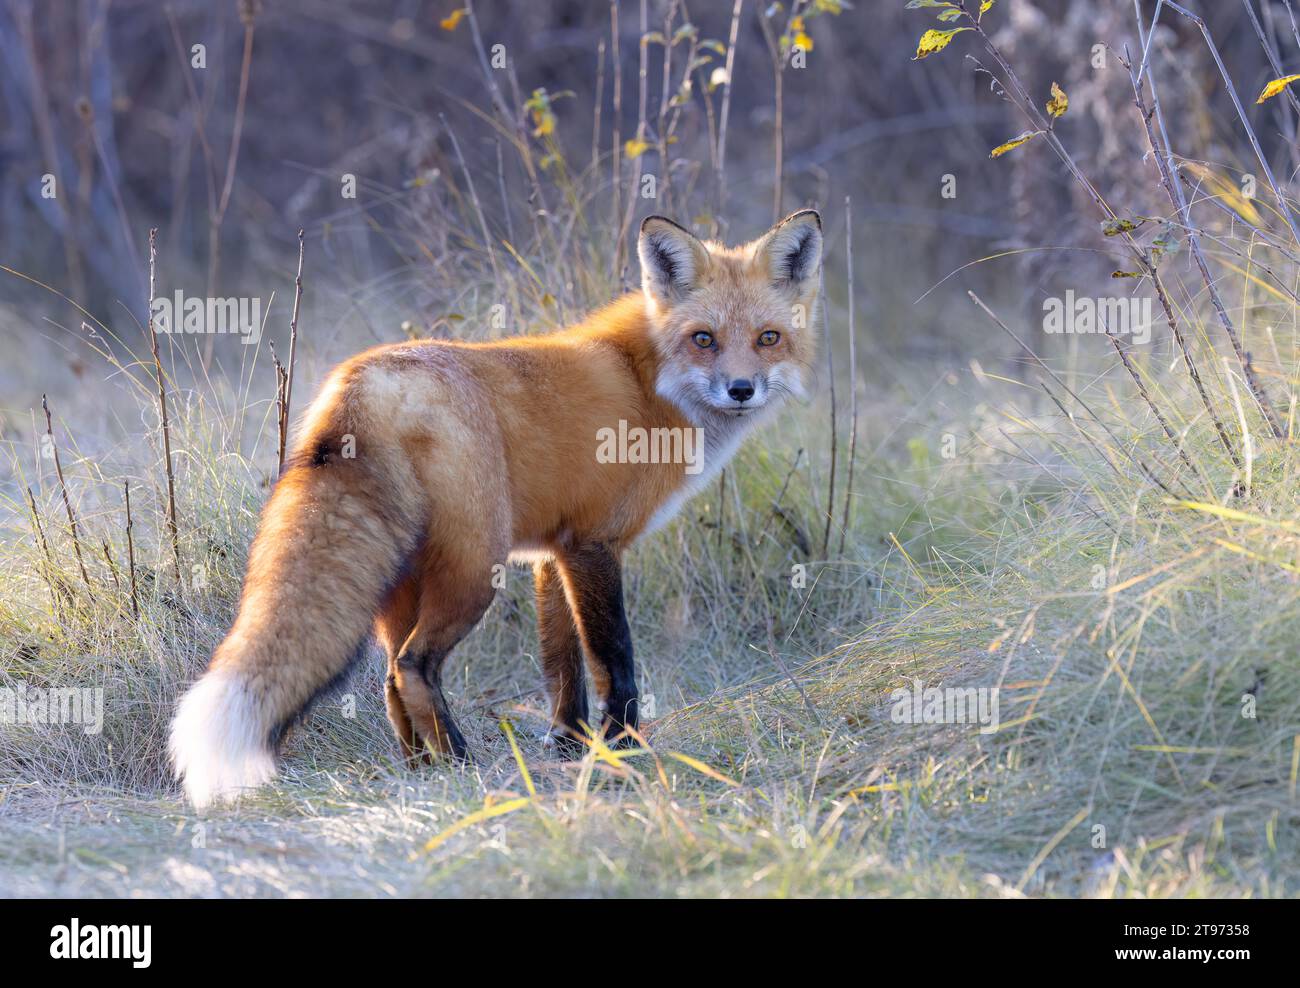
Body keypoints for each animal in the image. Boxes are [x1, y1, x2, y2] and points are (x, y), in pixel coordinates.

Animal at [170, 206, 821, 800]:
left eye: (768, 338)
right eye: (703, 339)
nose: (741, 389)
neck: (648, 383)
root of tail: (361, 381)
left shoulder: (553, 553)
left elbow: (562, 665)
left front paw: (568, 746)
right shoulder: (594, 544)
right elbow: (614, 661)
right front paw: (625, 752)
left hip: (401, 580)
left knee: (388, 678)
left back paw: (420, 772)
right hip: (474, 569)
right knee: (413, 665)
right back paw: (461, 765)